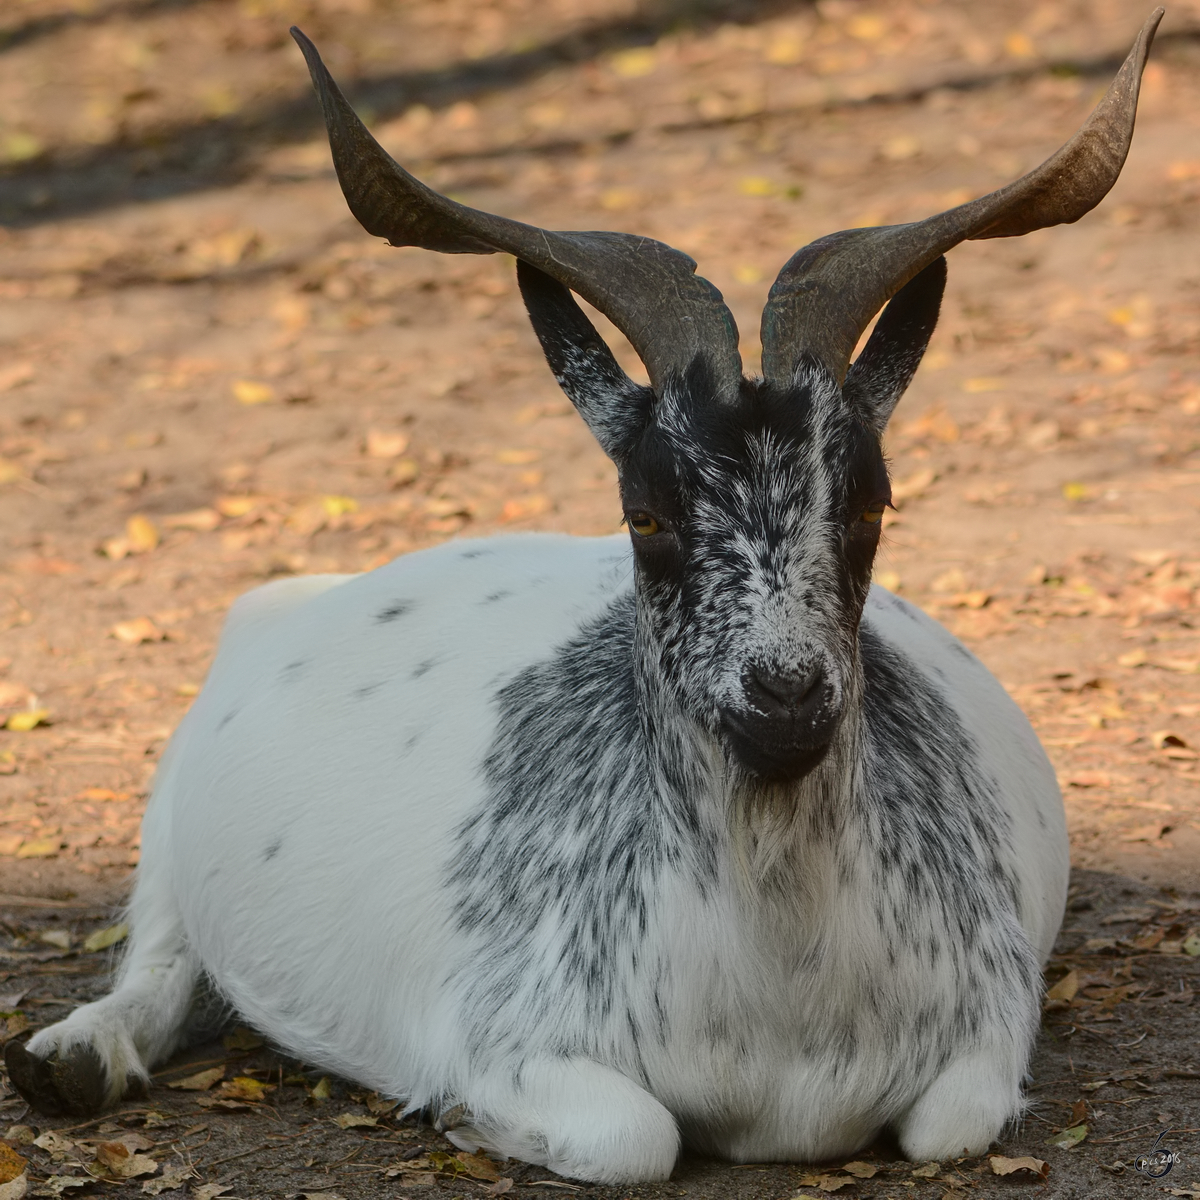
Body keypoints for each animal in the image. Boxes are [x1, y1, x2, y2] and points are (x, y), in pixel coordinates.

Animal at [2, 9, 1161, 1185]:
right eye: (643, 513)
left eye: (872, 506)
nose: (785, 693)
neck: (777, 1003)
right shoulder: (509, 1037)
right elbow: (633, 1136)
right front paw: (466, 1119)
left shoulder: (986, 1030)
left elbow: (945, 1128)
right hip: (172, 795)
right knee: (159, 957)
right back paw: (72, 1059)